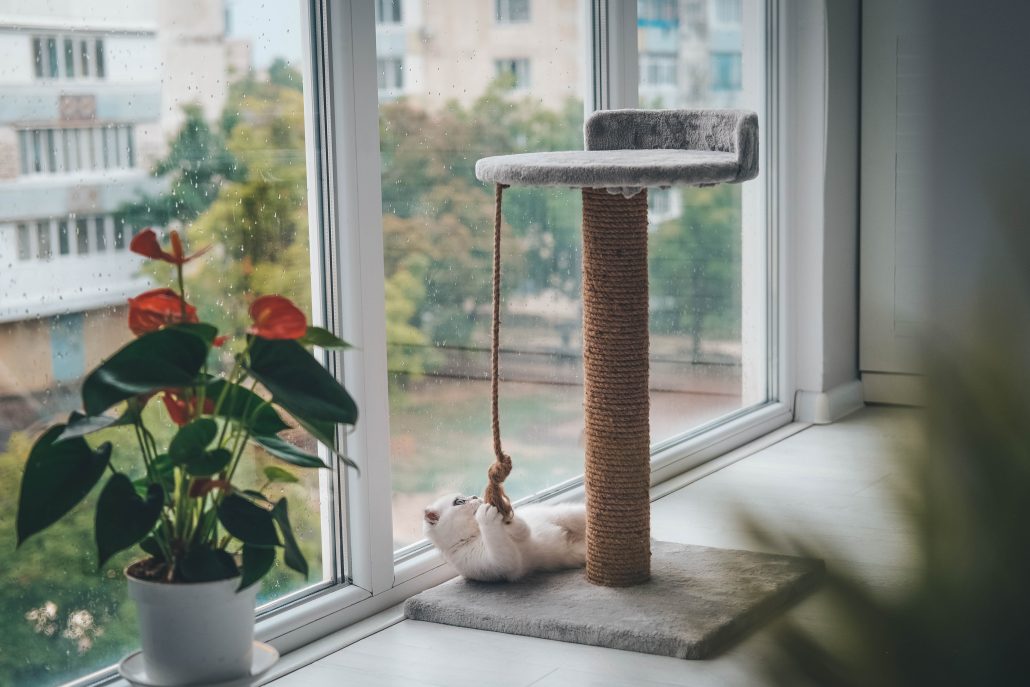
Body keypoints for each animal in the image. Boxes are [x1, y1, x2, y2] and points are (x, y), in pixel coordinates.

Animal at [420, 492, 585, 585]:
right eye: (459, 501)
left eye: (468, 496)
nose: (474, 496)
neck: (477, 534)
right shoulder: (504, 565)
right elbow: (498, 540)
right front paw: (486, 515)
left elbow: (522, 528)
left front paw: (505, 515)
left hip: (567, 514)